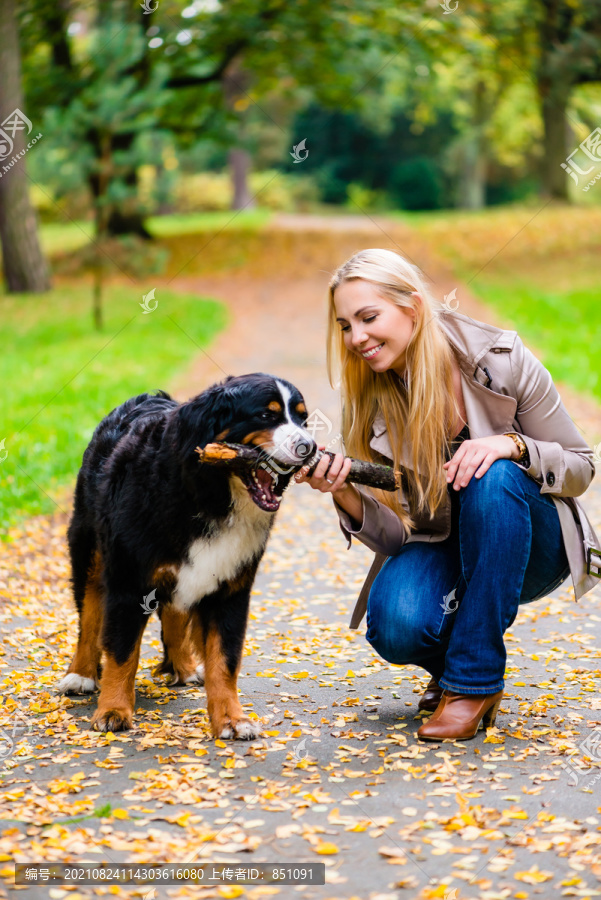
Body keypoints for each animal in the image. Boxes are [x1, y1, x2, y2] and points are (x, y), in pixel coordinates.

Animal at [56, 370, 316, 740]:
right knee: (89, 615)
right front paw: (114, 711)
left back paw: (183, 666)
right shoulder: (129, 581)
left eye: (303, 420)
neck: (211, 495)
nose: (309, 448)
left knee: (174, 614)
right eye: (267, 415)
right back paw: (80, 674)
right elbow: (122, 652)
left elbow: (224, 660)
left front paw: (231, 718)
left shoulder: (231, 589)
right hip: (89, 549)